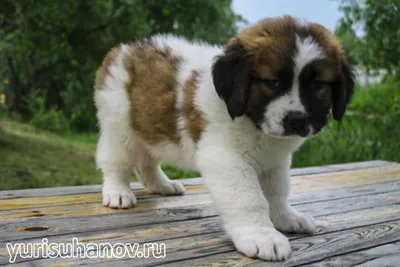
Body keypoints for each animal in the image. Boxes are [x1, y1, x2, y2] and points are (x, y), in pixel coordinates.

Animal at [94, 16, 356, 262]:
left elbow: (277, 191)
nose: (296, 119)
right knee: (116, 161)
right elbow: (249, 198)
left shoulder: (275, 161)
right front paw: (262, 236)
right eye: (272, 83)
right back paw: (118, 192)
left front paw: (286, 217)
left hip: (147, 126)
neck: (252, 121)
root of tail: (123, 49)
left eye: (317, 85)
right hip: (119, 125)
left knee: (146, 161)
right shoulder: (226, 158)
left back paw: (162, 185)